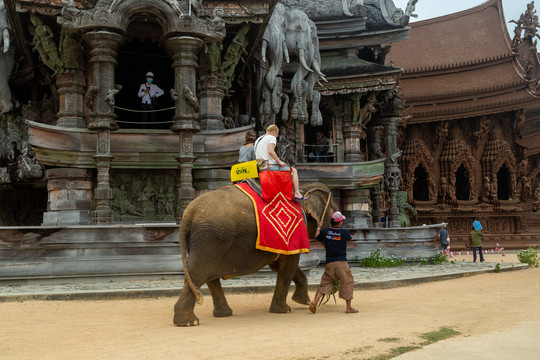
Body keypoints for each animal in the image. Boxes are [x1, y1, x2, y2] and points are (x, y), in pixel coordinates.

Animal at [173, 183, 336, 326]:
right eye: (334, 213)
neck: (303, 190)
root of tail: (188, 215)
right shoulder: (291, 233)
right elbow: (289, 264)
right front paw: (285, 310)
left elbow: (282, 265)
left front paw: (302, 302)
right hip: (210, 240)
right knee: (199, 273)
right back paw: (188, 322)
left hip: (206, 240)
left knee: (207, 276)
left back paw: (222, 314)